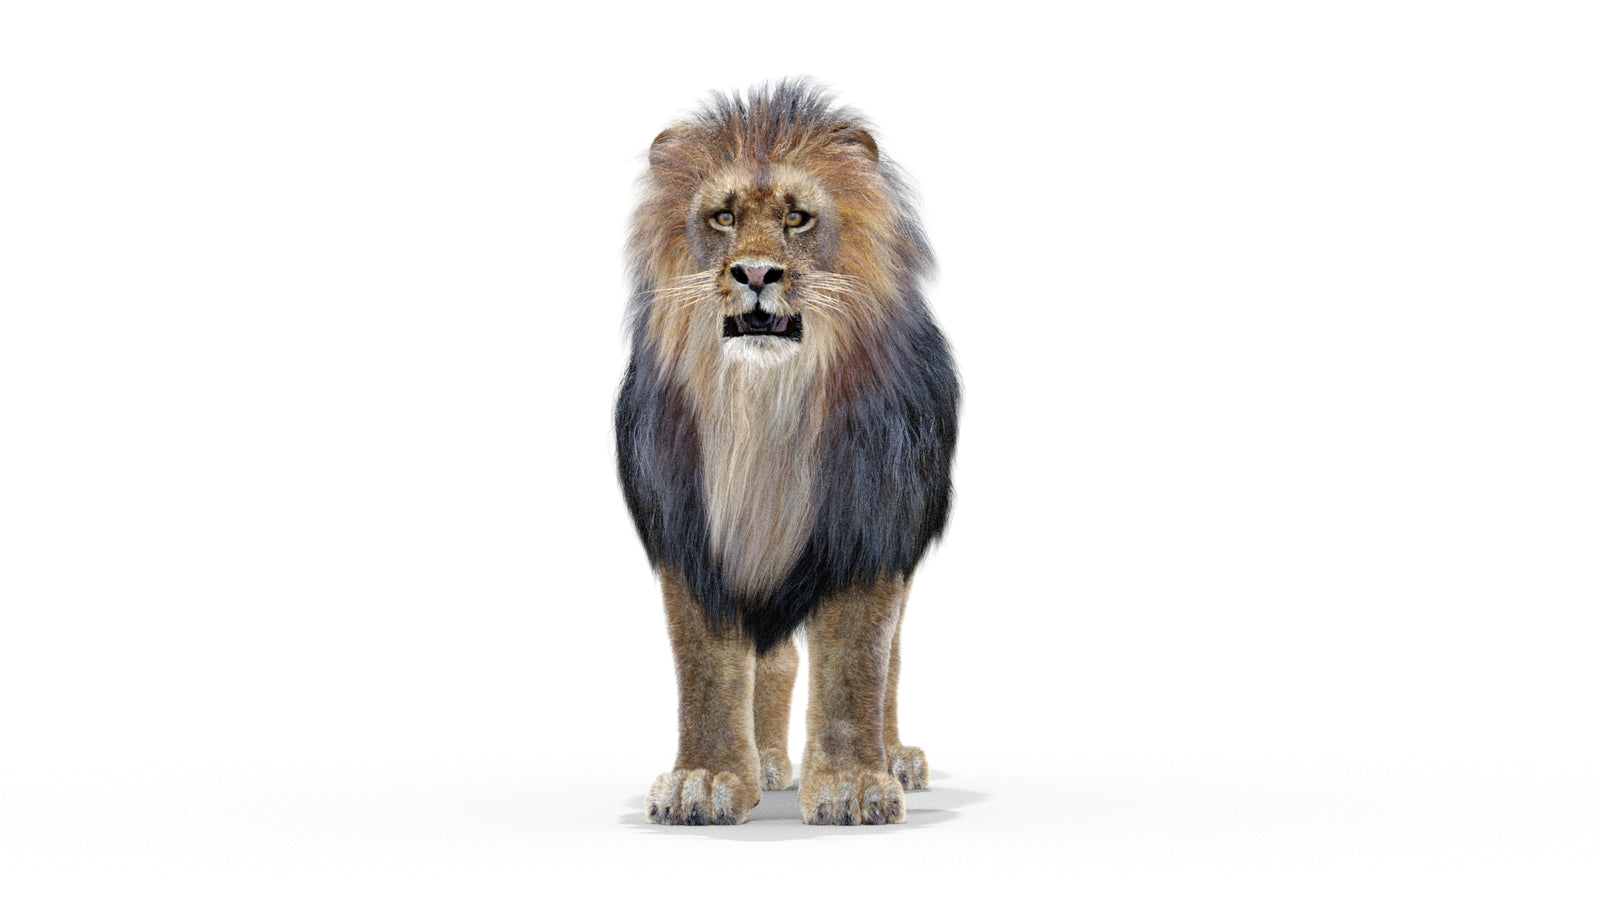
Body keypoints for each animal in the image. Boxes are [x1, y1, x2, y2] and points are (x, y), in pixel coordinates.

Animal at [615, 80, 958, 826]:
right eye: (722, 217)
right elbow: (707, 667)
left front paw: (855, 786)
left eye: (797, 219)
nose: (754, 273)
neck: (763, 406)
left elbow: (858, 663)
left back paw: (895, 757)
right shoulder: (692, 531)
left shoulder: (868, 525)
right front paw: (704, 781)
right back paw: (769, 763)